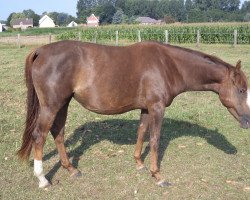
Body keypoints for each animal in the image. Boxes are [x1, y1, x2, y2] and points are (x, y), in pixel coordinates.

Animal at [18, 40, 250, 188]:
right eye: (241, 90)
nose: (247, 121)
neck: (168, 64)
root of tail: (41, 51)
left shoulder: (146, 108)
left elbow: (141, 132)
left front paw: (139, 163)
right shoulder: (157, 107)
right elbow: (155, 139)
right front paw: (158, 176)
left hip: (63, 103)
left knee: (58, 132)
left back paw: (71, 169)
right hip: (51, 105)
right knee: (40, 135)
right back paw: (42, 179)